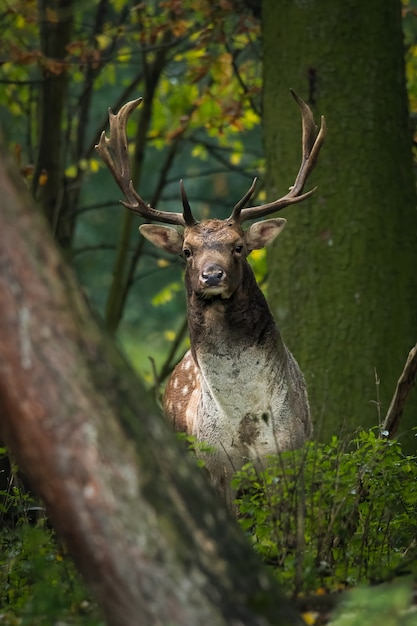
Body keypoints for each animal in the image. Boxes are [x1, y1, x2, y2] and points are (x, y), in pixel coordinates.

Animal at [95, 90, 324, 504]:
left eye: (239, 246)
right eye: (187, 250)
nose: (212, 275)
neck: (246, 423)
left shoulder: (288, 456)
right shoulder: (215, 465)